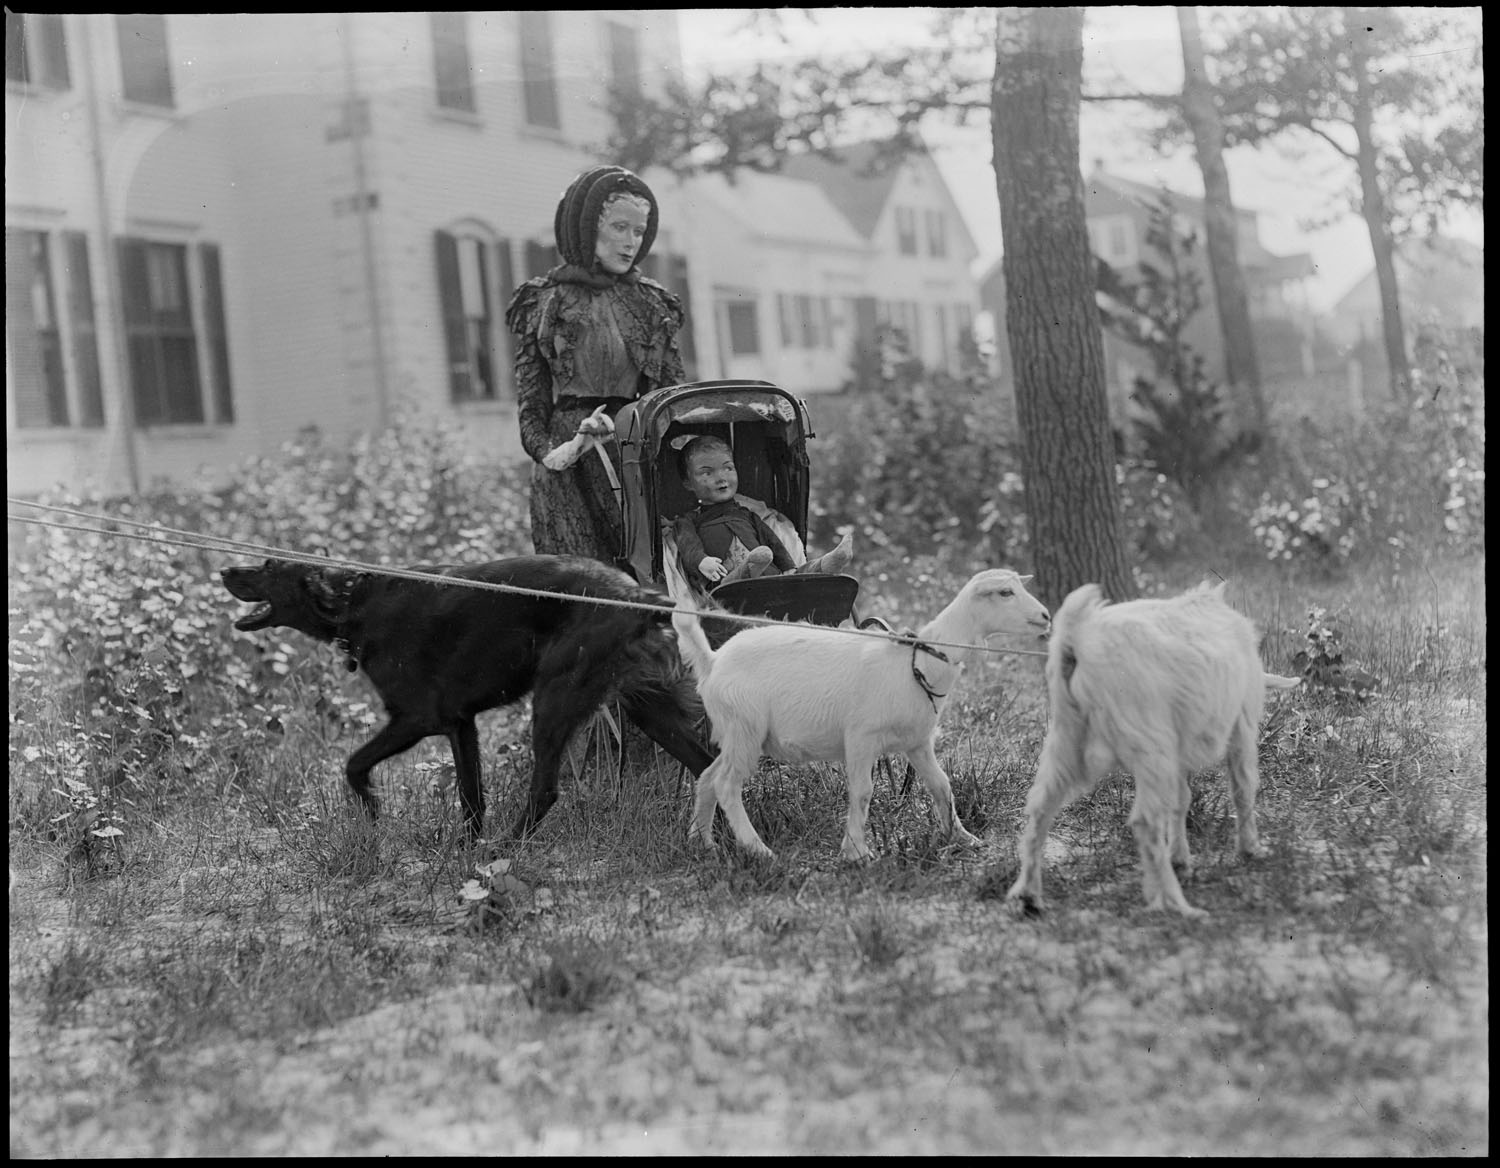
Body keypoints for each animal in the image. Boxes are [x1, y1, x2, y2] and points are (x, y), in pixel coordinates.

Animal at [221, 554, 714, 839]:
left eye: (267, 566)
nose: (224, 570)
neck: (355, 599)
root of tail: (636, 594)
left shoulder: (416, 718)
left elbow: (353, 764)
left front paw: (372, 810)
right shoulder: (460, 723)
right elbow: (470, 795)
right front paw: (466, 846)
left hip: (555, 698)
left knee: (545, 790)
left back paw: (508, 847)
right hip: (649, 708)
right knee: (707, 764)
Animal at [672, 569, 1051, 862]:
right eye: (1005, 592)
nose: (1047, 616)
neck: (918, 663)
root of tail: (712, 661)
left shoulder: (917, 742)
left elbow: (942, 785)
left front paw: (961, 837)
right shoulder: (860, 738)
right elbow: (863, 792)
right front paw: (856, 851)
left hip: (737, 734)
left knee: (707, 777)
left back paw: (701, 843)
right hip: (745, 728)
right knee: (725, 785)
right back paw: (759, 850)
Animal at [1007, 581, 1301, 919]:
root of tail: (1075, 640)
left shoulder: (1179, 747)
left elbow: (1181, 799)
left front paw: (1180, 858)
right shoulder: (1241, 724)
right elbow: (1243, 787)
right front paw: (1251, 849)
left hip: (1068, 738)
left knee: (1040, 808)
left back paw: (1029, 895)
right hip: (1150, 741)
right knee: (1145, 821)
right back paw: (1176, 904)